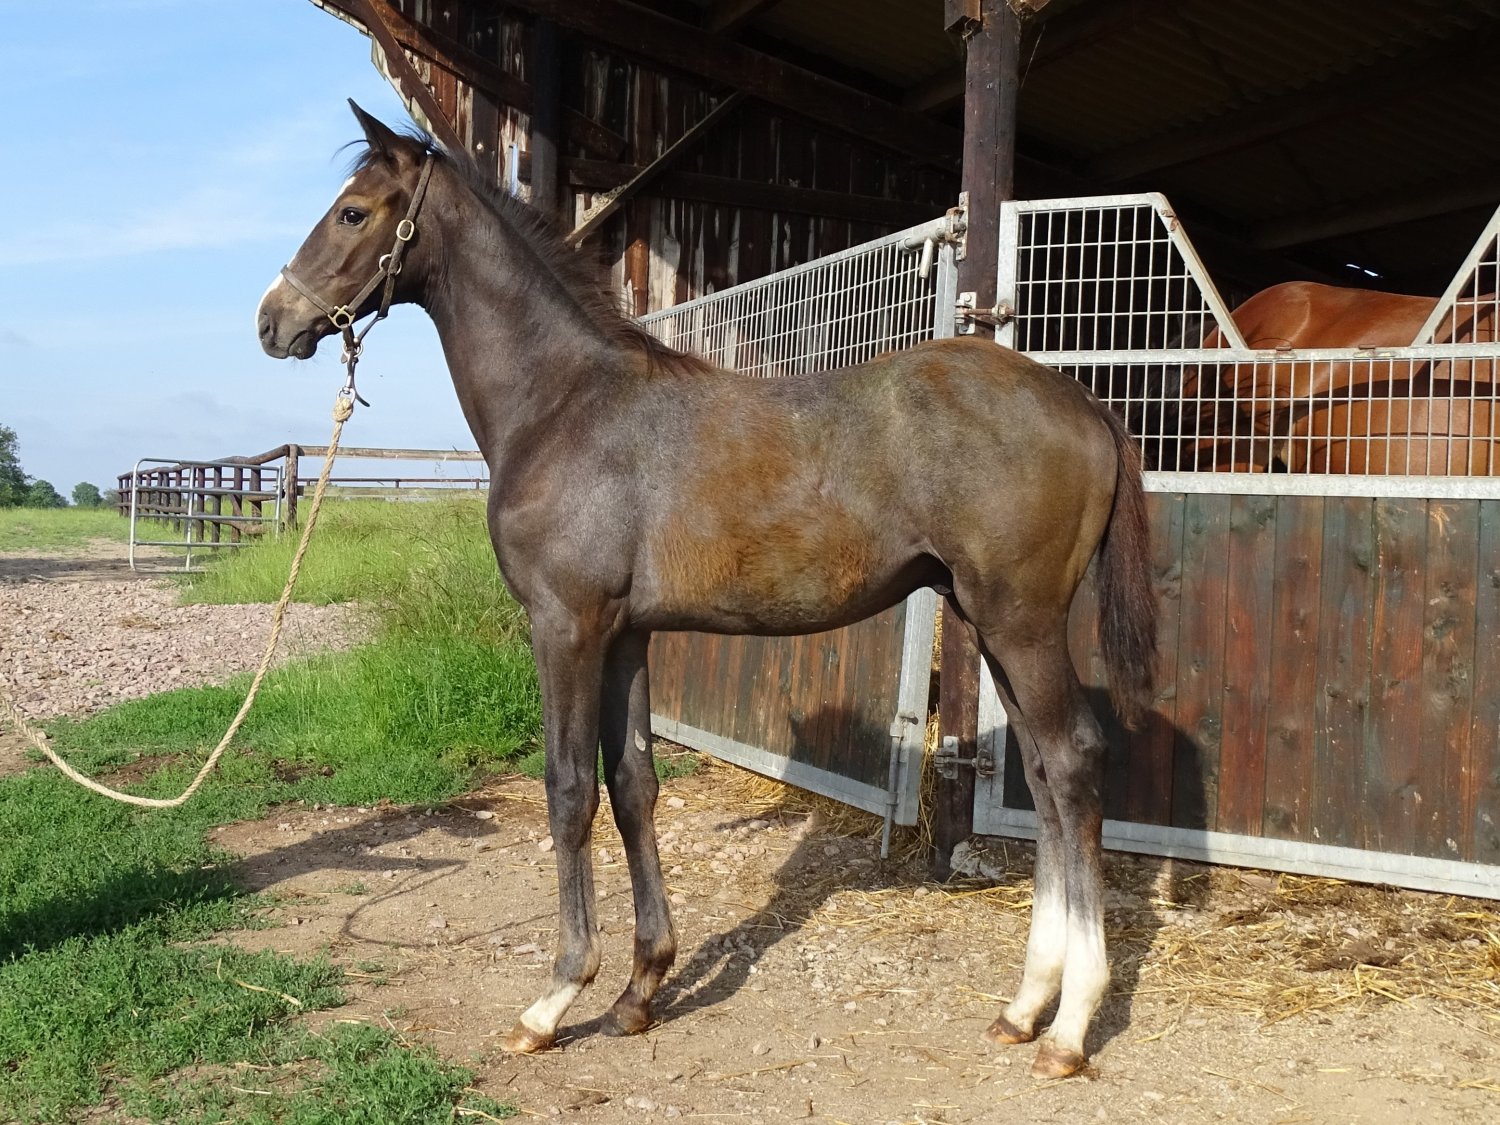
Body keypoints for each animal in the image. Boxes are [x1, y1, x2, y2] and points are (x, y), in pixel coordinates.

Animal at [256, 102, 1157, 1081]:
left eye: (353, 211)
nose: (272, 320)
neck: (566, 405)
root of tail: (1081, 402)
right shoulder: (625, 634)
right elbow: (632, 786)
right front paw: (639, 990)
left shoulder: (564, 625)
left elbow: (568, 790)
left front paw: (555, 997)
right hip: (990, 621)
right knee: (1042, 772)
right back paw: (1025, 1006)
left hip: (1021, 621)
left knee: (1073, 760)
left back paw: (1070, 1026)